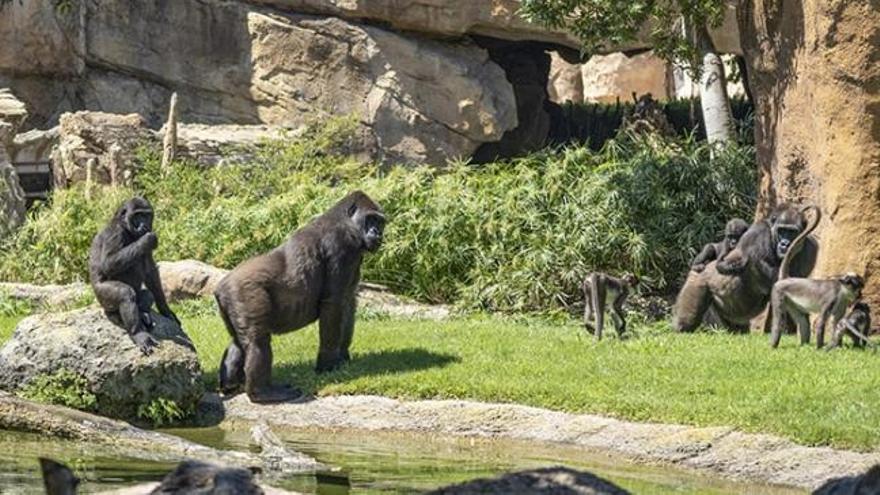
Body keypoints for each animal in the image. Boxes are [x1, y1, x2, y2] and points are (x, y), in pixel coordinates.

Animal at [88, 198, 180, 356]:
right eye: (137, 215)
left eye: (146, 215)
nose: (144, 224)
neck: (125, 226)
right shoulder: (115, 232)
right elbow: (109, 263)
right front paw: (146, 240)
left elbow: (151, 271)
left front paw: (166, 310)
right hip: (102, 299)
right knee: (125, 294)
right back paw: (138, 334)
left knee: (147, 294)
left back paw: (143, 315)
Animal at [215, 190, 384, 404]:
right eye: (370, 219)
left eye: (380, 222)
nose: (377, 233)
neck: (345, 220)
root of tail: (220, 286)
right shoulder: (341, 245)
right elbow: (334, 303)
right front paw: (328, 366)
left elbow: (348, 303)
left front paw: (343, 358)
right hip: (243, 291)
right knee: (257, 342)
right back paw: (262, 392)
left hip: (231, 299)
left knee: (238, 340)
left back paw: (231, 383)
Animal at [672, 203, 820, 336]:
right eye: (782, 230)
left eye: (791, 232)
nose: (785, 244)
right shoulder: (758, 233)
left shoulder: (810, 247)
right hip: (697, 279)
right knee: (687, 320)